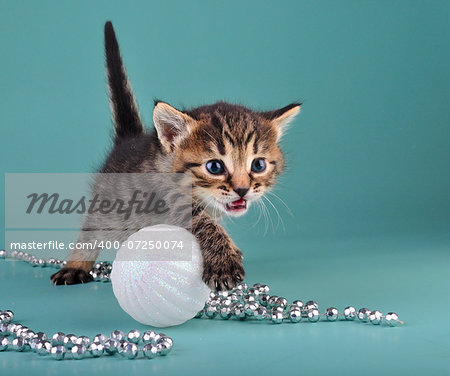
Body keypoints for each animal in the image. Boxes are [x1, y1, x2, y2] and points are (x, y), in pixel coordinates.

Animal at [51, 21, 300, 290]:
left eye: (258, 165)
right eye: (214, 167)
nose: (243, 190)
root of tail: (128, 140)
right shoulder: (163, 197)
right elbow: (200, 220)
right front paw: (223, 263)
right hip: (108, 210)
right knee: (91, 229)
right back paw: (76, 265)